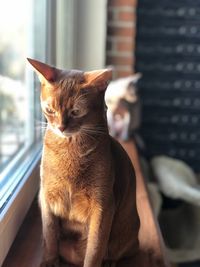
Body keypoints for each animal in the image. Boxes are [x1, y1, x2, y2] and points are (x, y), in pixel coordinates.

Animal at [27, 58, 140, 267]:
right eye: (49, 110)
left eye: (76, 111)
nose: (61, 127)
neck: (69, 149)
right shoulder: (46, 197)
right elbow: (49, 236)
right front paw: (49, 261)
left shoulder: (102, 206)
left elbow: (95, 250)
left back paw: (110, 262)